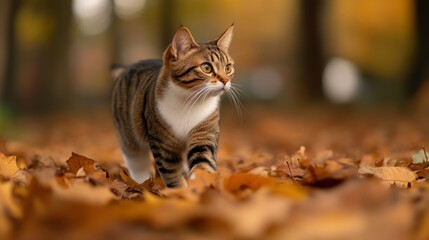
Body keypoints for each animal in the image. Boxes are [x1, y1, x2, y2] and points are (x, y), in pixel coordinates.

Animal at [111, 25, 234, 188]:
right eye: (206, 68)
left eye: (228, 68)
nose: (226, 81)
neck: (190, 102)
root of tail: (127, 67)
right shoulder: (163, 142)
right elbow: (171, 171)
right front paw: (180, 191)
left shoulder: (205, 131)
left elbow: (202, 161)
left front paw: (201, 186)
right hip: (128, 134)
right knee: (135, 159)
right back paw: (141, 182)